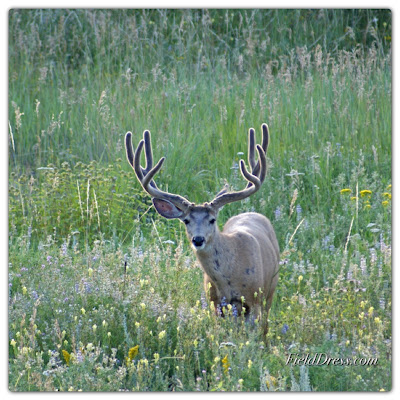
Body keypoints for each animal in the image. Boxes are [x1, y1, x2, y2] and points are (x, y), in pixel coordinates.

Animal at [124, 123, 278, 332]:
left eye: (212, 219)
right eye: (186, 220)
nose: (198, 239)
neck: (229, 280)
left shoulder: (254, 300)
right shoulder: (214, 303)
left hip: (269, 291)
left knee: (265, 326)